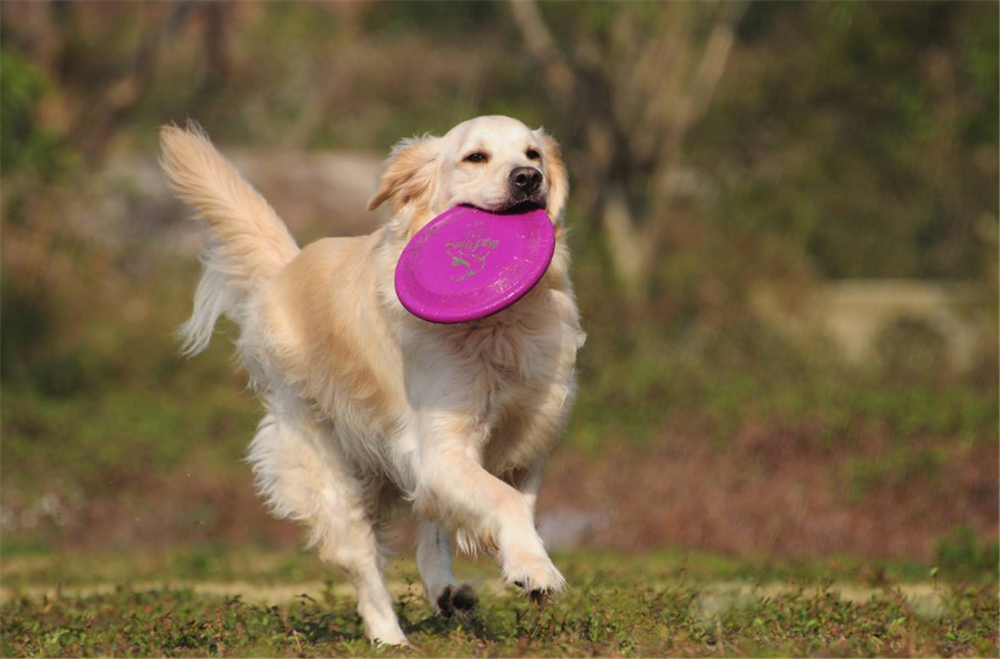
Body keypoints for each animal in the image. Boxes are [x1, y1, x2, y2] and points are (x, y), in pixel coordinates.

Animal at [159, 114, 584, 644]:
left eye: (533, 154)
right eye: (476, 157)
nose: (529, 179)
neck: (500, 325)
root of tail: (285, 270)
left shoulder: (528, 434)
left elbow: (515, 501)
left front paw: (521, 558)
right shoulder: (440, 447)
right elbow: (503, 500)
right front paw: (535, 568)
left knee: (429, 525)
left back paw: (447, 592)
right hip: (329, 472)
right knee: (364, 565)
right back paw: (391, 639)